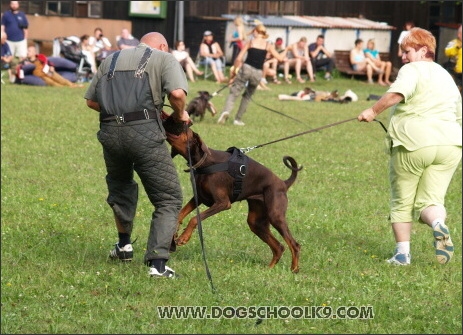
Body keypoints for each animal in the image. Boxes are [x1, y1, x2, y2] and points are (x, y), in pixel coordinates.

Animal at [161, 113, 302, 272]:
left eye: (184, 125)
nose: (166, 117)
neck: (206, 161)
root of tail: (283, 183)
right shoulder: (199, 197)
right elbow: (181, 213)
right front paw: (175, 231)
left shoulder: (222, 203)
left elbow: (194, 219)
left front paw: (184, 237)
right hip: (256, 222)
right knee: (279, 246)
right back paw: (269, 269)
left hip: (275, 216)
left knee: (294, 245)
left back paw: (294, 270)